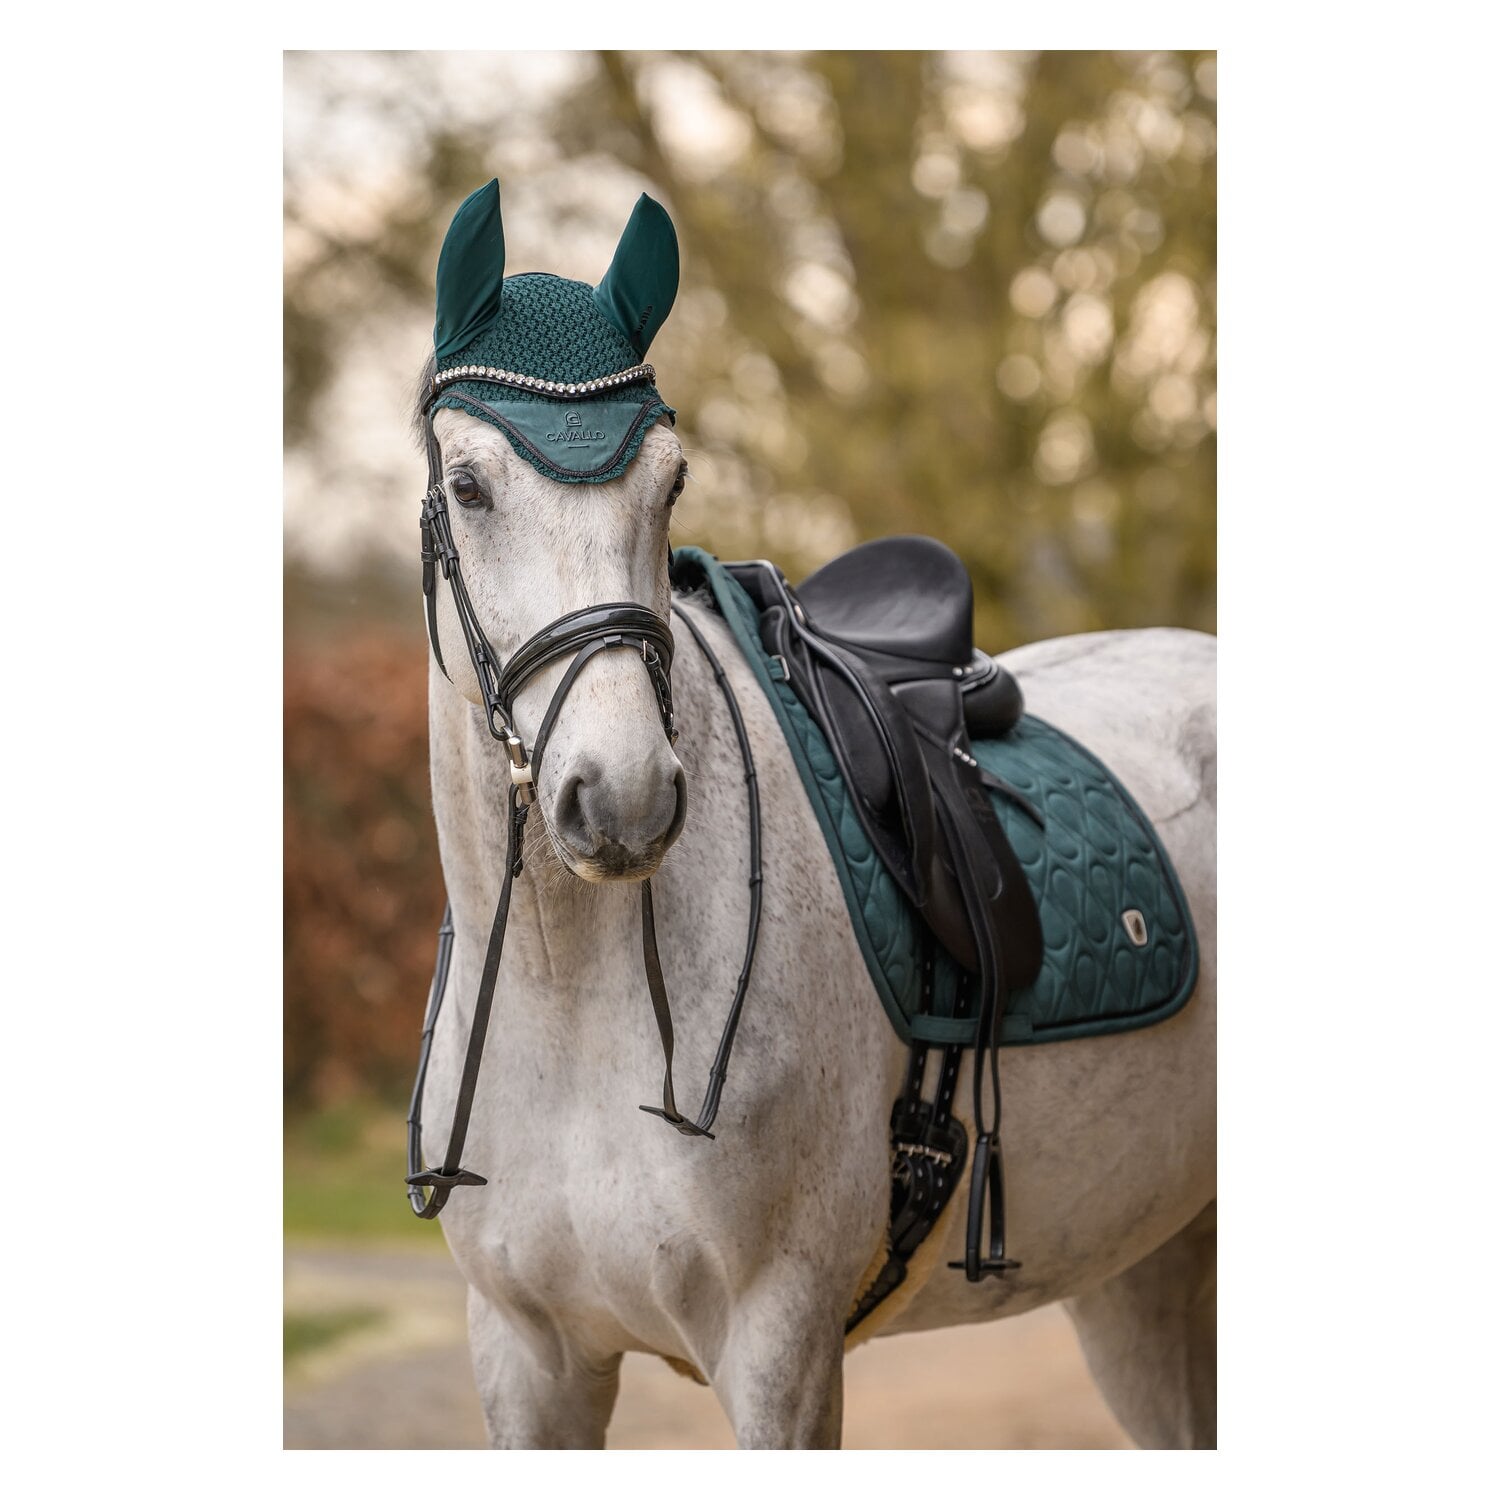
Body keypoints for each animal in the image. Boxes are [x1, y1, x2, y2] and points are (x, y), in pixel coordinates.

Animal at [409, 186, 1216, 1450]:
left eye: (671, 482)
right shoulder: (530, 1361)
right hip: (1149, 1271)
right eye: (469, 487)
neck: (566, 995)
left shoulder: (778, 1357)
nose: (624, 795)